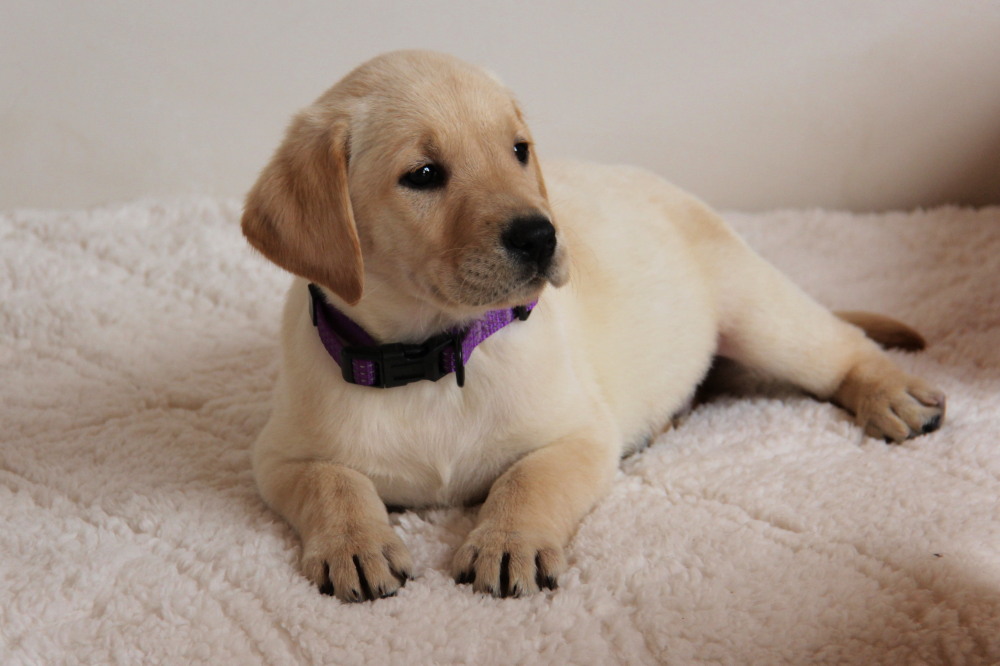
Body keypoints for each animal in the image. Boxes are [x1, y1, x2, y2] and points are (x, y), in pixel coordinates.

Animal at [242, 50, 944, 600]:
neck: (434, 352)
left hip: (760, 313)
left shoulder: (578, 434)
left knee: (842, 346)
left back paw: (893, 394)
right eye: (423, 175)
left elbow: (528, 479)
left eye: (518, 151)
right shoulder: (278, 455)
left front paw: (509, 541)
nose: (541, 236)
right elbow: (332, 482)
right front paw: (354, 545)